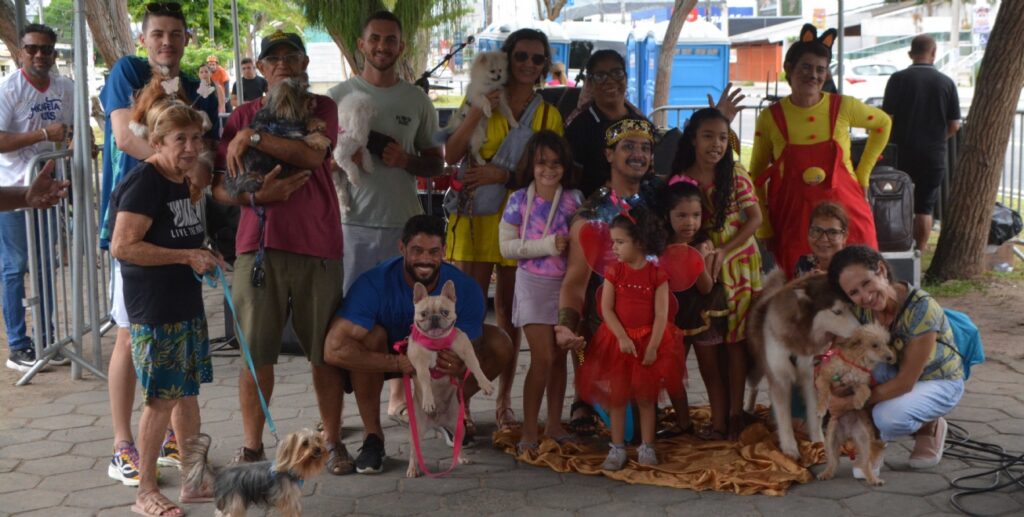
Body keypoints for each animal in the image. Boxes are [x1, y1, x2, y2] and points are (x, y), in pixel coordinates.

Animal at [403, 280, 491, 477]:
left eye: (444, 312)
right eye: (423, 314)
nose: (435, 318)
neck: (437, 342)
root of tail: (437, 422)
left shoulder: (465, 350)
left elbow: (475, 366)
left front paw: (485, 384)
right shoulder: (420, 362)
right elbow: (425, 379)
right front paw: (429, 400)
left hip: (459, 427)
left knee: (458, 445)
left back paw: (461, 458)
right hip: (415, 430)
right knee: (413, 451)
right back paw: (413, 468)